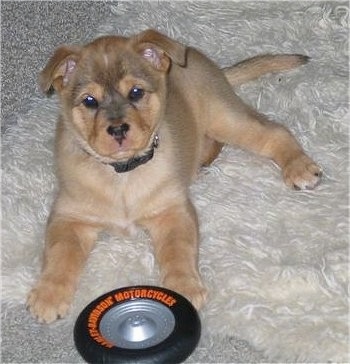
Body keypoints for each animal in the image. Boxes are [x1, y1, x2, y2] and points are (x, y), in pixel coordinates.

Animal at [27, 29, 322, 322]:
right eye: (89, 101)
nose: (118, 130)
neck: (122, 175)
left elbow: (178, 251)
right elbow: (59, 253)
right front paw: (49, 294)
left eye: (136, 92)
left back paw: (299, 166)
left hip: (226, 118)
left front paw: (183, 287)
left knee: (275, 132)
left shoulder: (173, 212)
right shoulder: (68, 216)